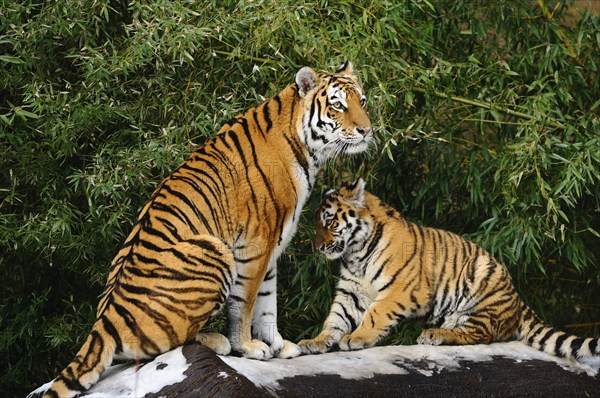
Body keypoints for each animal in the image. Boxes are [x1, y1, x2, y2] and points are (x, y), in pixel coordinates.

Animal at [41, 62, 370, 398]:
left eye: (362, 101)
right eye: (338, 105)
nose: (366, 131)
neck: (308, 149)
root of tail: (104, 322)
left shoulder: (272, 248)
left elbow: (267, 303)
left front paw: (278, 345)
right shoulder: (255, 245)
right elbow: (246, 303)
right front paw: (248, 347)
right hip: (213, 249)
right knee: (167, 343)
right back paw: (216, 340)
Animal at [300, 180, 600, 364]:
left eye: (329, 221)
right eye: (316, 223)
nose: (318, 247)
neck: (356, 252)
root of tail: (519, 300)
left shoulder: (401, 290)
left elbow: (375, 314)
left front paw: (356, 338)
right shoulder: (351, 291)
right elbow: (335, 318)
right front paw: (317, 341)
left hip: (480, 287)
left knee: (481, 335)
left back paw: (437, 335)